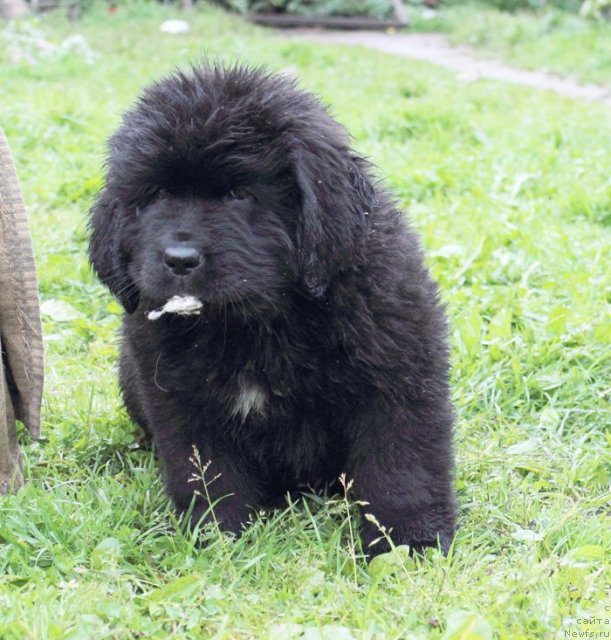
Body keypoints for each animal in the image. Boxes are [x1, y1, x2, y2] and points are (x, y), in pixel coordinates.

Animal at [88, 65, 456, 556]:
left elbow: (402, 465)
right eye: (157, 194)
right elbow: (208, 473)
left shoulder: (397, 373)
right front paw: (218, 538)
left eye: (239, 194)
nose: (179, 259)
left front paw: (410, 543)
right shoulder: (182, 398)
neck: (260, 320)